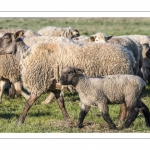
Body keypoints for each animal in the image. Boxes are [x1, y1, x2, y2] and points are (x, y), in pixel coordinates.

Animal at [0, 29, 136, 125]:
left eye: (6, 37)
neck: (26, 55)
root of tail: (129, 54)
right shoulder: (54, 86)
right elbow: (61, 104)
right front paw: (68, 120)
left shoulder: (39, 83)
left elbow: (28, 103)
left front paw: (19, 121)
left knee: (123, 103)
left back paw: (120, 120)